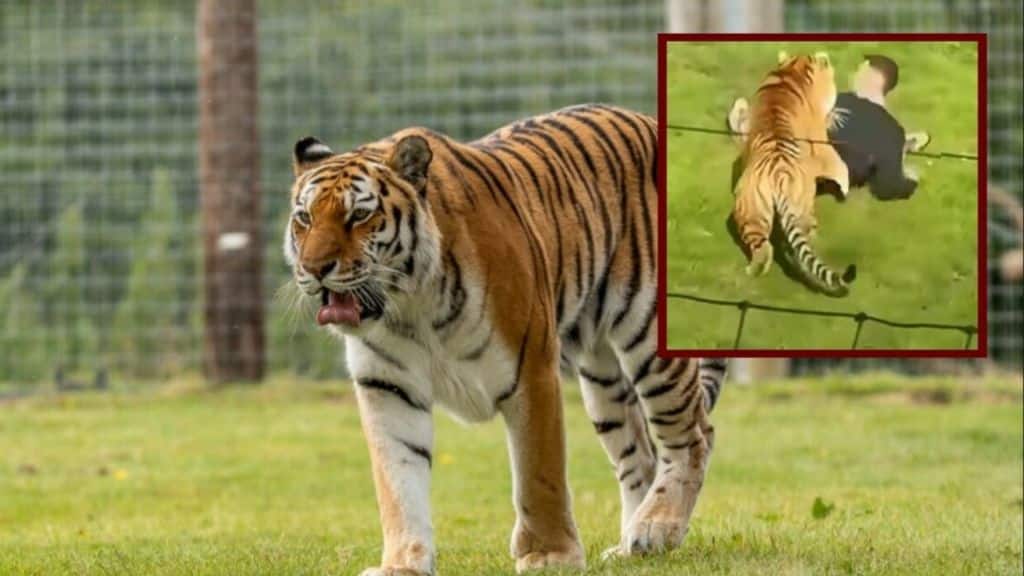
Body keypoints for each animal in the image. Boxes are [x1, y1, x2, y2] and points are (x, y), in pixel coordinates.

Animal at [282, 104, 728, 575]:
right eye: (304, 218)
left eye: (358, 216)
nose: (314, 268)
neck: (410, 305)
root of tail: (648, 120)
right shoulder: (387, 386)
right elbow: (398, 483)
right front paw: (402, 564)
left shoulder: (531, 369)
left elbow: (538, 474)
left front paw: (550, 555)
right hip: (602, 377)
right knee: (639, 454)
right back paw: (631, 544)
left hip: (648, 337)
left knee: (693, 435)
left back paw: (657, 528)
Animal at [732, 51, 856, 297]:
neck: (791, 70)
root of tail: (777, 176)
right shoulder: (822, 144)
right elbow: (840, 166)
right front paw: (845, 189)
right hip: (800, 205)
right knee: (802, 237)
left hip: (751, 209)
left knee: (763, 247)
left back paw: (753, 270)